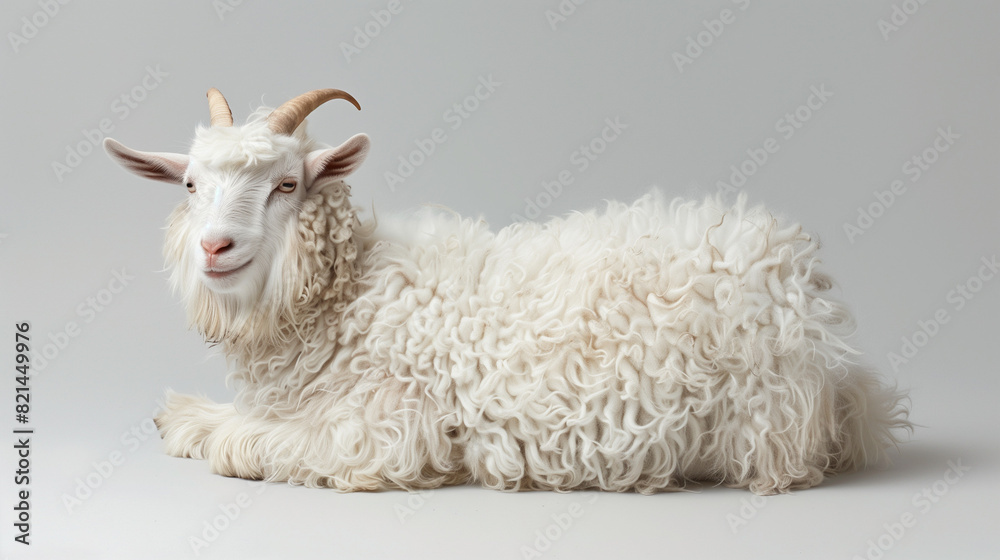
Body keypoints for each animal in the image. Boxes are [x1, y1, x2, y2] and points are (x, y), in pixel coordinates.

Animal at [103, 88, 909, 495]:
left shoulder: (379, 430)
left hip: (759, 426)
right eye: (190, 185)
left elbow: (244, 441)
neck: (348, 292)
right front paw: (183, 413)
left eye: (286, 185)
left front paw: (200, 428)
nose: (215, 247)